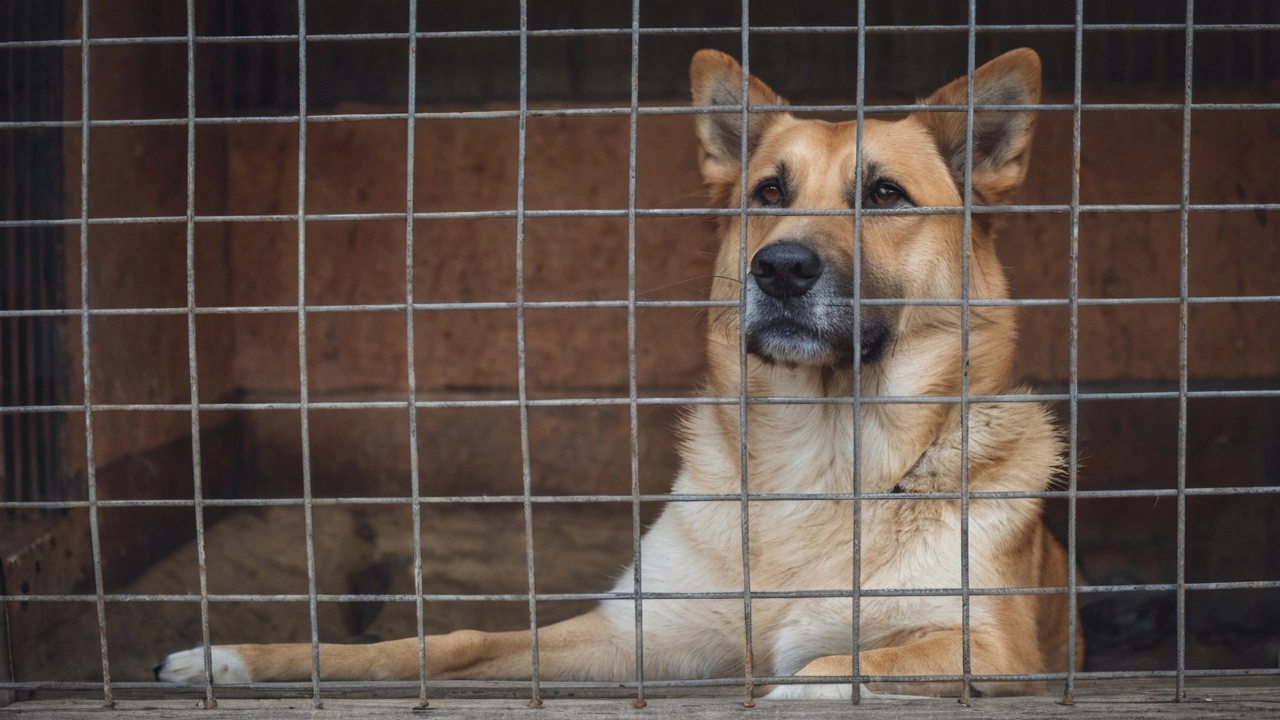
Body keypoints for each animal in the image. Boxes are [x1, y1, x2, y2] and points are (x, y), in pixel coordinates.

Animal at [157, 47, 1080, 696]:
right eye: (767, 194)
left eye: (885, 195)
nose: (779, 269)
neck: (816, 461)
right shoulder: (634, 636)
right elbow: (444, 642)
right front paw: (232, 658)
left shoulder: (993, 650)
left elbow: (827, 670)